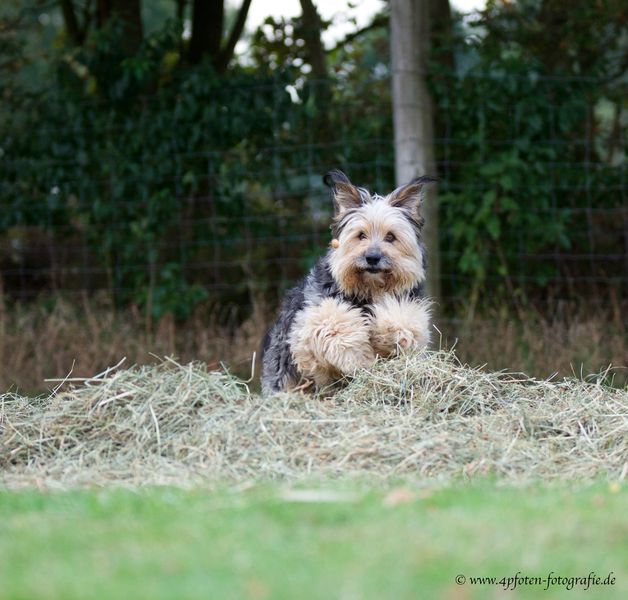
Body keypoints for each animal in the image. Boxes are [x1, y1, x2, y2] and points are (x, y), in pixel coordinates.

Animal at [261, 169, 434, 395]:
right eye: (361, 235)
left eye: (390, 237)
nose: (372, 257)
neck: (369, 291)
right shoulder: (305, 327)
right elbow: (335, 325)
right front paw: (360, 357)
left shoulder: (410, 311)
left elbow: (403, 323)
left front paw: (383, 332)